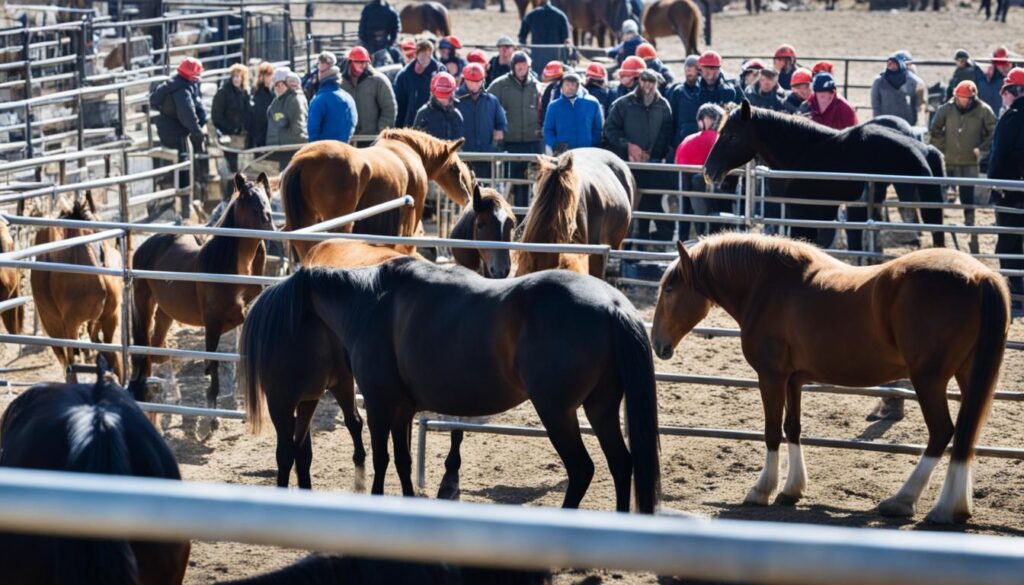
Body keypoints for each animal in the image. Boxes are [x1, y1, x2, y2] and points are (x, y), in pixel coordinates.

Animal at [127, 173, 274, 424]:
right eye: (246, 197)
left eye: (266, 195)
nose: (268, 219)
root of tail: (147, 243)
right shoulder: (213, 323)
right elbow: (212, 361)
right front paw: (211, 415)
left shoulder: (245, 317)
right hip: (143, 302)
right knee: (146, 349)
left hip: (166, 312)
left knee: (157, 351)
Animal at [242, 260, 660, 513]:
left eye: (280, 334)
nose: (278, 389)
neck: (370, 304)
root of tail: (612, 305)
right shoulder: (403, 410)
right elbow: (403, 460)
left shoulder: (378, 404)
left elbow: (381, 459)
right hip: (600, 409)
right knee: (621, 464)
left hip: (557, 412)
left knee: (583, 469)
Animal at [281, 128, 474, 260]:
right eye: (455, 168)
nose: (467, 197)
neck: (407, 150)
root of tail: (302, 161)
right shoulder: (413, 210)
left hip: (308, 219)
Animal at [651, 233, 1009, 524]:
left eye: (669, 289)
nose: (657, 344)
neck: (767, 287)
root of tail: (980, 276)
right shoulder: (793, 380)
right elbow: (792, 428)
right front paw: (791, 491)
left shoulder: (771, 376)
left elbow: (771, 432)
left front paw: (761, 490)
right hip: (967, 376)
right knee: (966, 433)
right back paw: (955, 508)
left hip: (928, 379)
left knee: (942, 432)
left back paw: (908, 502)